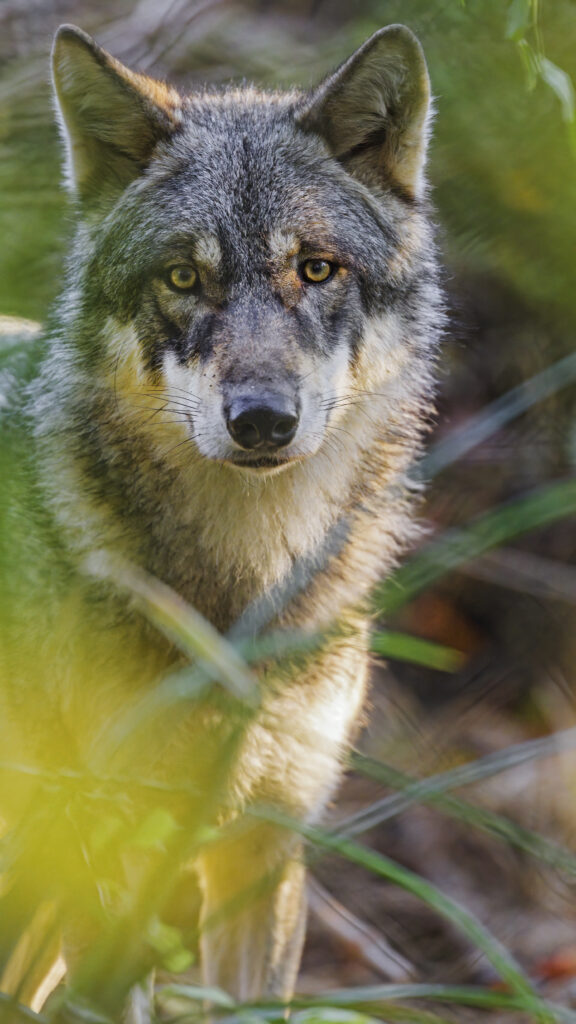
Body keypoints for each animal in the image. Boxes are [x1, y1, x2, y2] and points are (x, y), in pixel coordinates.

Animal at [0, 20, 442, 1018]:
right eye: (182, 277)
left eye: (316, 268)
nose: (263, 420)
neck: (244, 583)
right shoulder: (108, 850)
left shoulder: (266, 848)